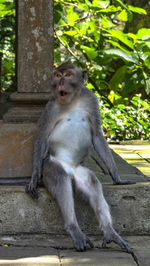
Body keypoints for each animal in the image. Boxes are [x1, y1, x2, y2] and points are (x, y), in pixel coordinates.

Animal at [25, 61, 132, 252]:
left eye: (67, 75)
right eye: (58, 75)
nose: (60, 83)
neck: (72, 100)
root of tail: (70, 171)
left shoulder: (91, 99)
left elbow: (97, 135)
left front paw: (117, 178)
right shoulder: (50, 107)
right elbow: (42, 137)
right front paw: (34, 177)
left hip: (79, 171)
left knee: (92, 183)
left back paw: (110, 232)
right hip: (51, 164)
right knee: (60, 179)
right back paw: (74, 229)